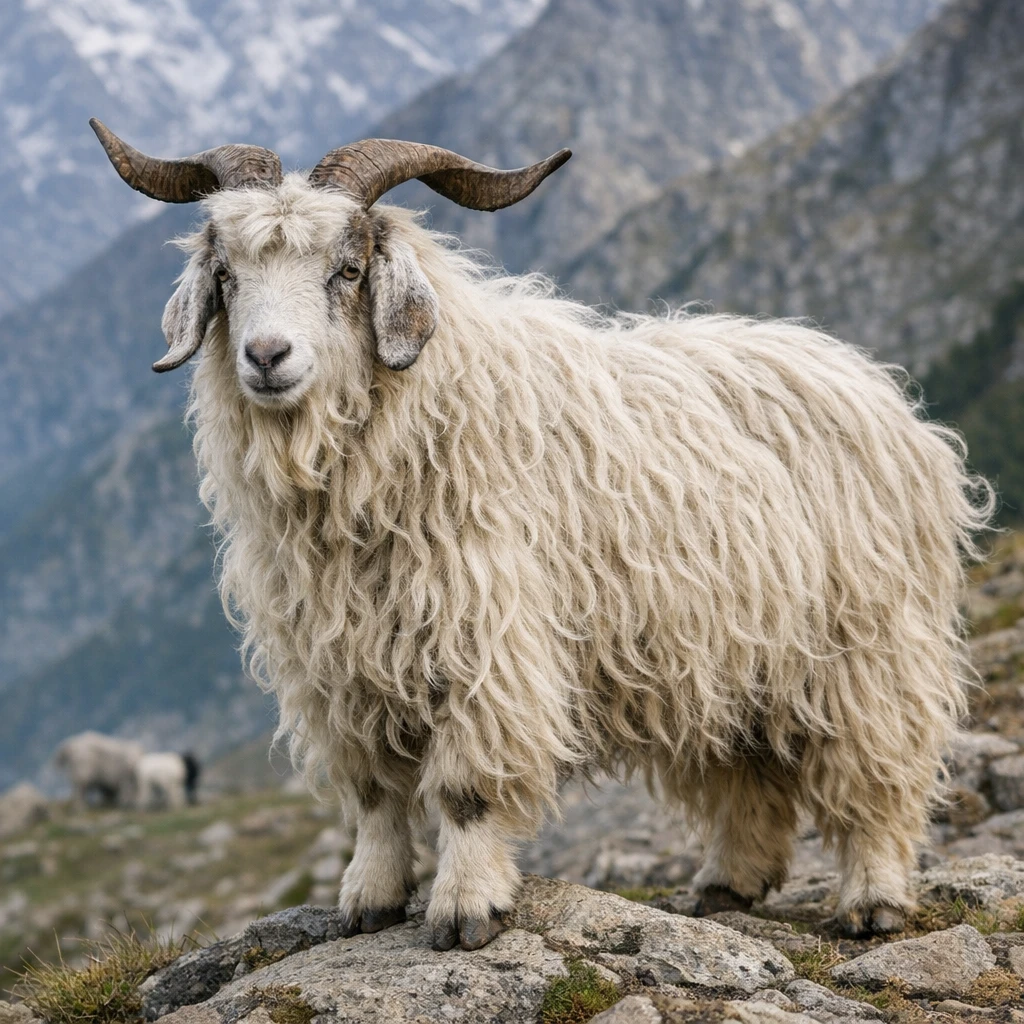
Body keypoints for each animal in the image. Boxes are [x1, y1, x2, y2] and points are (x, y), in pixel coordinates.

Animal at [92, 121, 991, 949]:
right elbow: (376, 792)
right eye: (227, 274)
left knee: (878, 772)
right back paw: (726, 885)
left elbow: (465, 790)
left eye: (346, 270)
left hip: (866, 647)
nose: (267, 356)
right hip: (736, 656)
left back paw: (872, 899)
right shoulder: (341, 665)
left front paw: (466, 909)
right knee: (749, 772)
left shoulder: (486, 639)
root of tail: (880, 390)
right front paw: (368, 900)